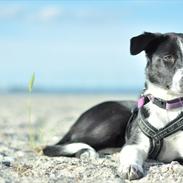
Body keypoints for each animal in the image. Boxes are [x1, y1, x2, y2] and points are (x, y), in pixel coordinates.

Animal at [43, 31, 183, 180]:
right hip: (113, 121)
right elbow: (130, 152)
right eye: (168, 57)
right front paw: (129, 167)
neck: (169, 106)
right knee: (56, 145)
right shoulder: (135, 142)